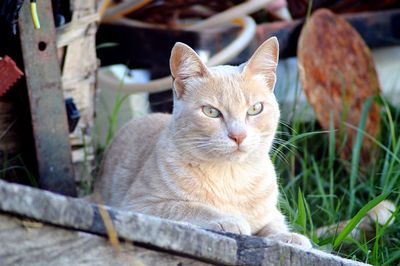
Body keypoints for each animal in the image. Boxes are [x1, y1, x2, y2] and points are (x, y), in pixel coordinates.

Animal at [93, 36, 312, 248]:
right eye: (211, 112)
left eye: (255, 109)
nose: (238, 135)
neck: (231, 177)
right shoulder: (140, 205)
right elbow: (189, 208)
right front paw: (229, 219)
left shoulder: (271, 214)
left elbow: (274, 225)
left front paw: (288, 236)